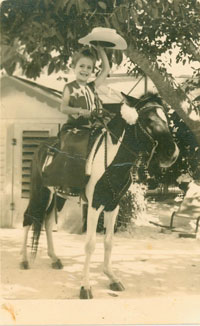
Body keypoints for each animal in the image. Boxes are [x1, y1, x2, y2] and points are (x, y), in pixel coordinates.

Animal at [20, 91, 180, 298]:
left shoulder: (113, 205)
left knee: (47, 222)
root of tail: (42, 147)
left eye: (166, 118)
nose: (172, 153)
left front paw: (112, 278)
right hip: (39, 191)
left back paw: (54, 258)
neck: (113, 161)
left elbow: (109, 242)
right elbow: (90, 244)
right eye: (148, 119)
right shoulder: (94, 204)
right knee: (28, 217)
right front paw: (85, 286)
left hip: (57, 196)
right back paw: (24, 259)